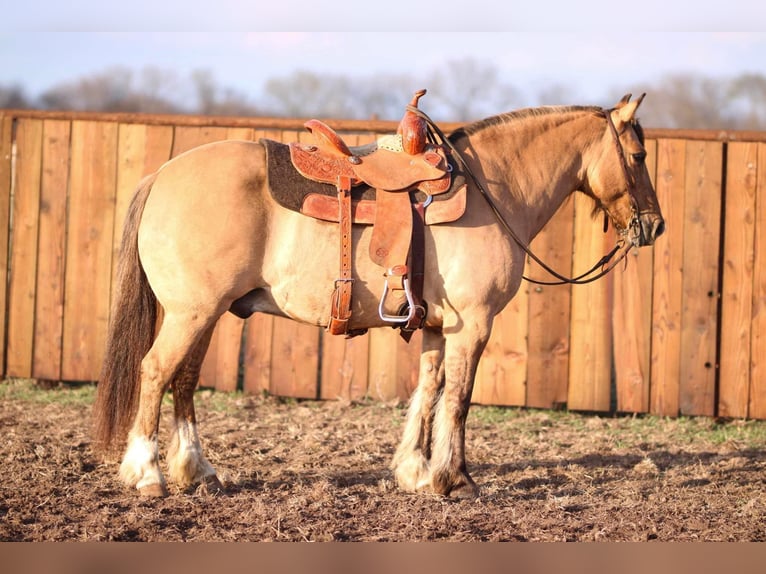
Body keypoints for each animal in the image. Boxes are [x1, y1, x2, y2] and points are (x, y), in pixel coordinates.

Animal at [91, 91, 664, 500]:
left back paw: (198, 471)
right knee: (156, 371)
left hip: (204, 315)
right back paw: (146, 474)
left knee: (184, 380)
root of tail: (163, 173)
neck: (492, 192)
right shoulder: (475, 324)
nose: (653, 225)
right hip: (191, 314)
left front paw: (416, 471)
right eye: (637, 155)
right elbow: (459, 399)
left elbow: (429, 391)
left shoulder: (439, 325)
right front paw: (456, 479)